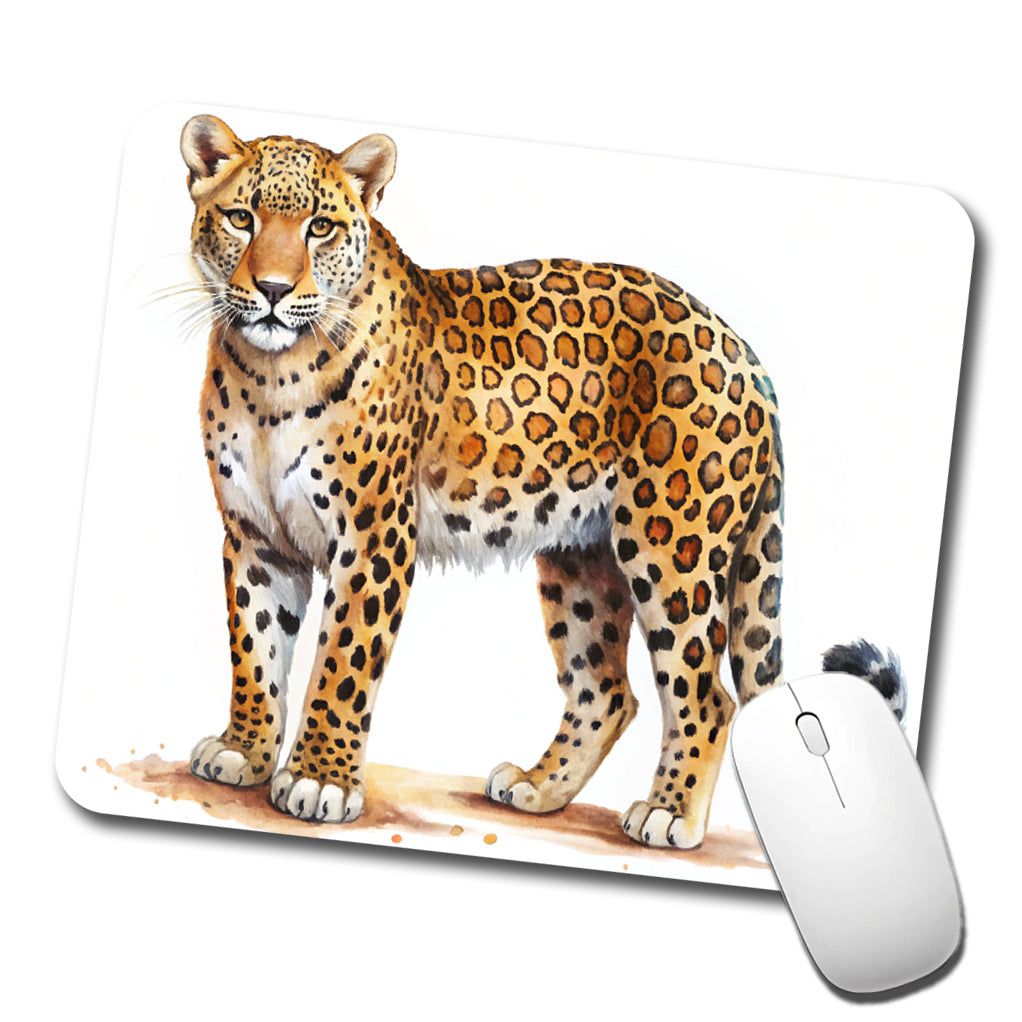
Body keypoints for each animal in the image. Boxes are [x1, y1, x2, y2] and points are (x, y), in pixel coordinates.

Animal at [180, 114, 906, 849]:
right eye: (241, 218)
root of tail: (744, 350)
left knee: (706, 695)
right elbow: (256, 647)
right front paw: (244, 751)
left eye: (320, 228)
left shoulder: (374, 538)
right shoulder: (255, 536)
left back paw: (669, 814)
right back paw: (537, 787)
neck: (269, 373)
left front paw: (318, 780)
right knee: (607, 691)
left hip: (674, 549)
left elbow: (342, 664)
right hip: (582, 557)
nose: (273, 290)